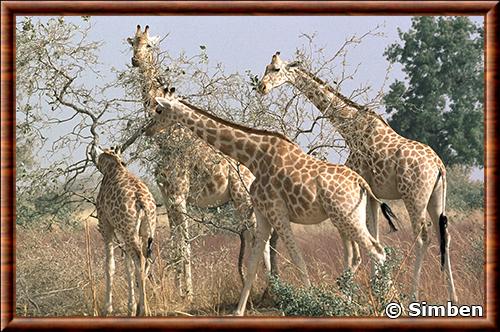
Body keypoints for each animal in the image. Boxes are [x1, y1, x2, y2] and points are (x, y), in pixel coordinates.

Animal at [92, 146, 157, 316]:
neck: (111, 166)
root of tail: (142, 202)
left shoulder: (105, 224)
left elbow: (110, 265)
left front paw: (107, 309)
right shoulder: (124, 231)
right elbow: (128, 267)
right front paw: (131, 307)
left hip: (128, 232)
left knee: (140, 260)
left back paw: (144, 311)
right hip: (144, 232)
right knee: (145, 262)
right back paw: (143, 308)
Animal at [127, 25, 278, 294]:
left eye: (149, 45)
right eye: (133, 43)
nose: (135, 60)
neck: (167, 137)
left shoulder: (179, 194)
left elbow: (184, 241)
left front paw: (187, 292)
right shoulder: (167, 196)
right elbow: (175, 239)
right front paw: (179, 288)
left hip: (243, 196)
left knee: (259, 234)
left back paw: (267, 287)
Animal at [145, 91, 398, 316]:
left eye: (159, 110)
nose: (147, 130)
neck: (253, 157)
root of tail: (361, 183)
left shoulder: (278, 212)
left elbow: (297, 259)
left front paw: (311, 302)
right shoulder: (263, 213)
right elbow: (253, 262)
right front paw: (238, 311)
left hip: (345, 217)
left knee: (377, 251)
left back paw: (386, 301)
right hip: (349, 217)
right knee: (364, 253)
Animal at [258, 52, 458, 304]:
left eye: (276, 69)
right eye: (266, 68)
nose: (261, 87)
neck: (350, 128)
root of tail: (439, 166)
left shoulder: (363, 186)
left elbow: (368, 237)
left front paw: (378, 289)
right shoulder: (372, 193)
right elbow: (375, 235)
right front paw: (379, 287)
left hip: (414, 196)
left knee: (423, 236)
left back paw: (413, 295)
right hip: (436, 198)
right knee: (445, 236)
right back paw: (453, 296)